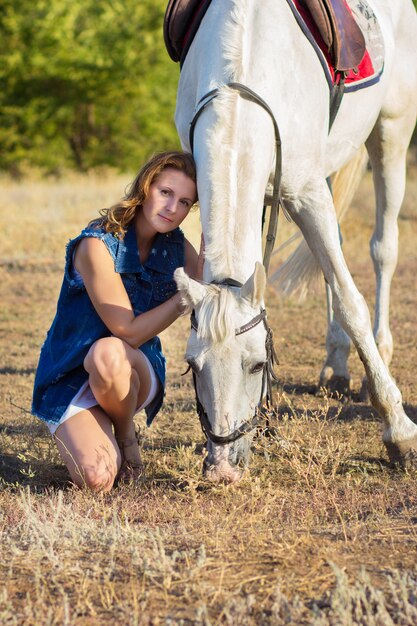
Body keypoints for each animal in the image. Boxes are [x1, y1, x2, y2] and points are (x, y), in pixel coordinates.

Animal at [172, 0, 416, 482]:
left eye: (257, 365)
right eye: (192, 365)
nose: (222, 469)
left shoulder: (305, 193)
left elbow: (351, 301)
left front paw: (398, 431)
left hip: (391, 136)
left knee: (383, 248)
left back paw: (380, 351)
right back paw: (335, 364)